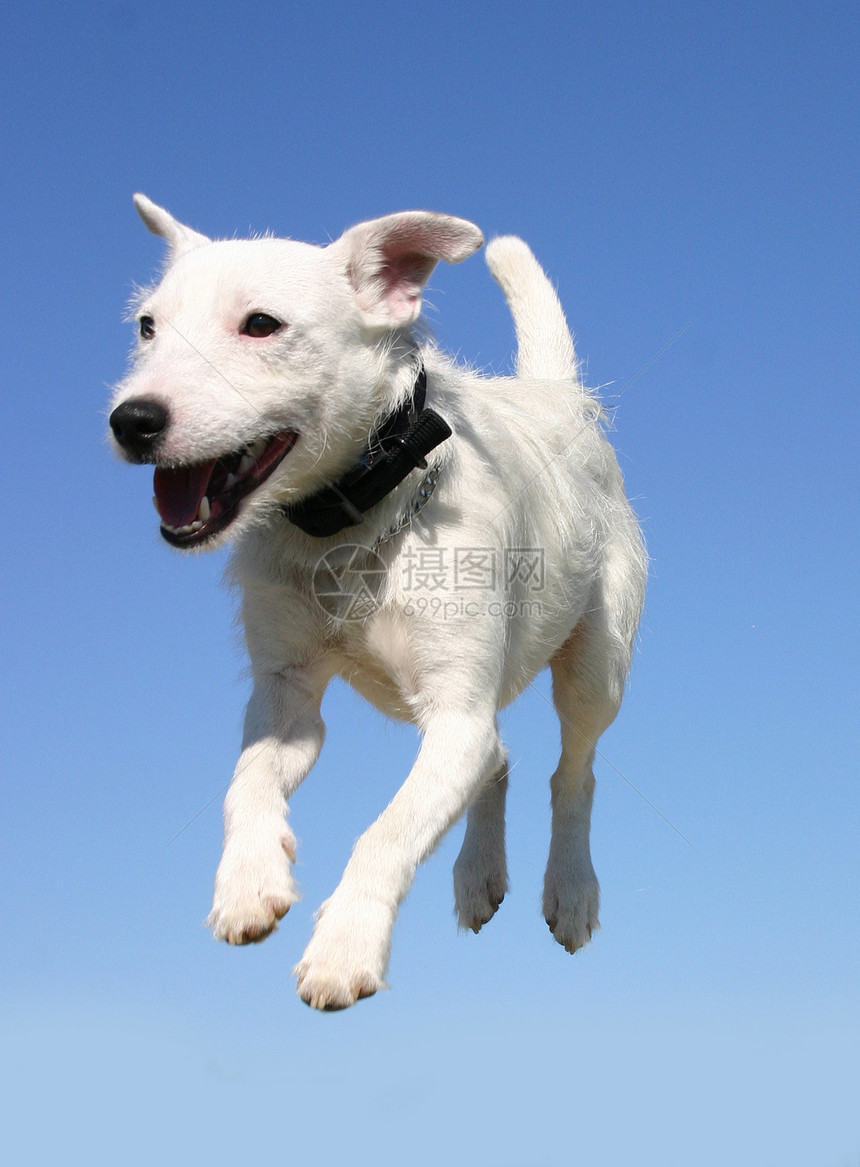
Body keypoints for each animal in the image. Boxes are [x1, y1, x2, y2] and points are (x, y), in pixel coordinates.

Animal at [109, 196, 644, 1008]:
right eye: (146, 327)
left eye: (260, 324)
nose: (131, 420)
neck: (350, 526)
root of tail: (557, 400)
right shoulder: (288, 696)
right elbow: (247, 782)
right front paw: (248, 881)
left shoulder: (456, 715)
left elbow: (385, 833)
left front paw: (344, 945)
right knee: (501, 758)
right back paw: (477, 873)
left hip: (595, 670)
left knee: (571, 774)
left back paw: (572, 890)